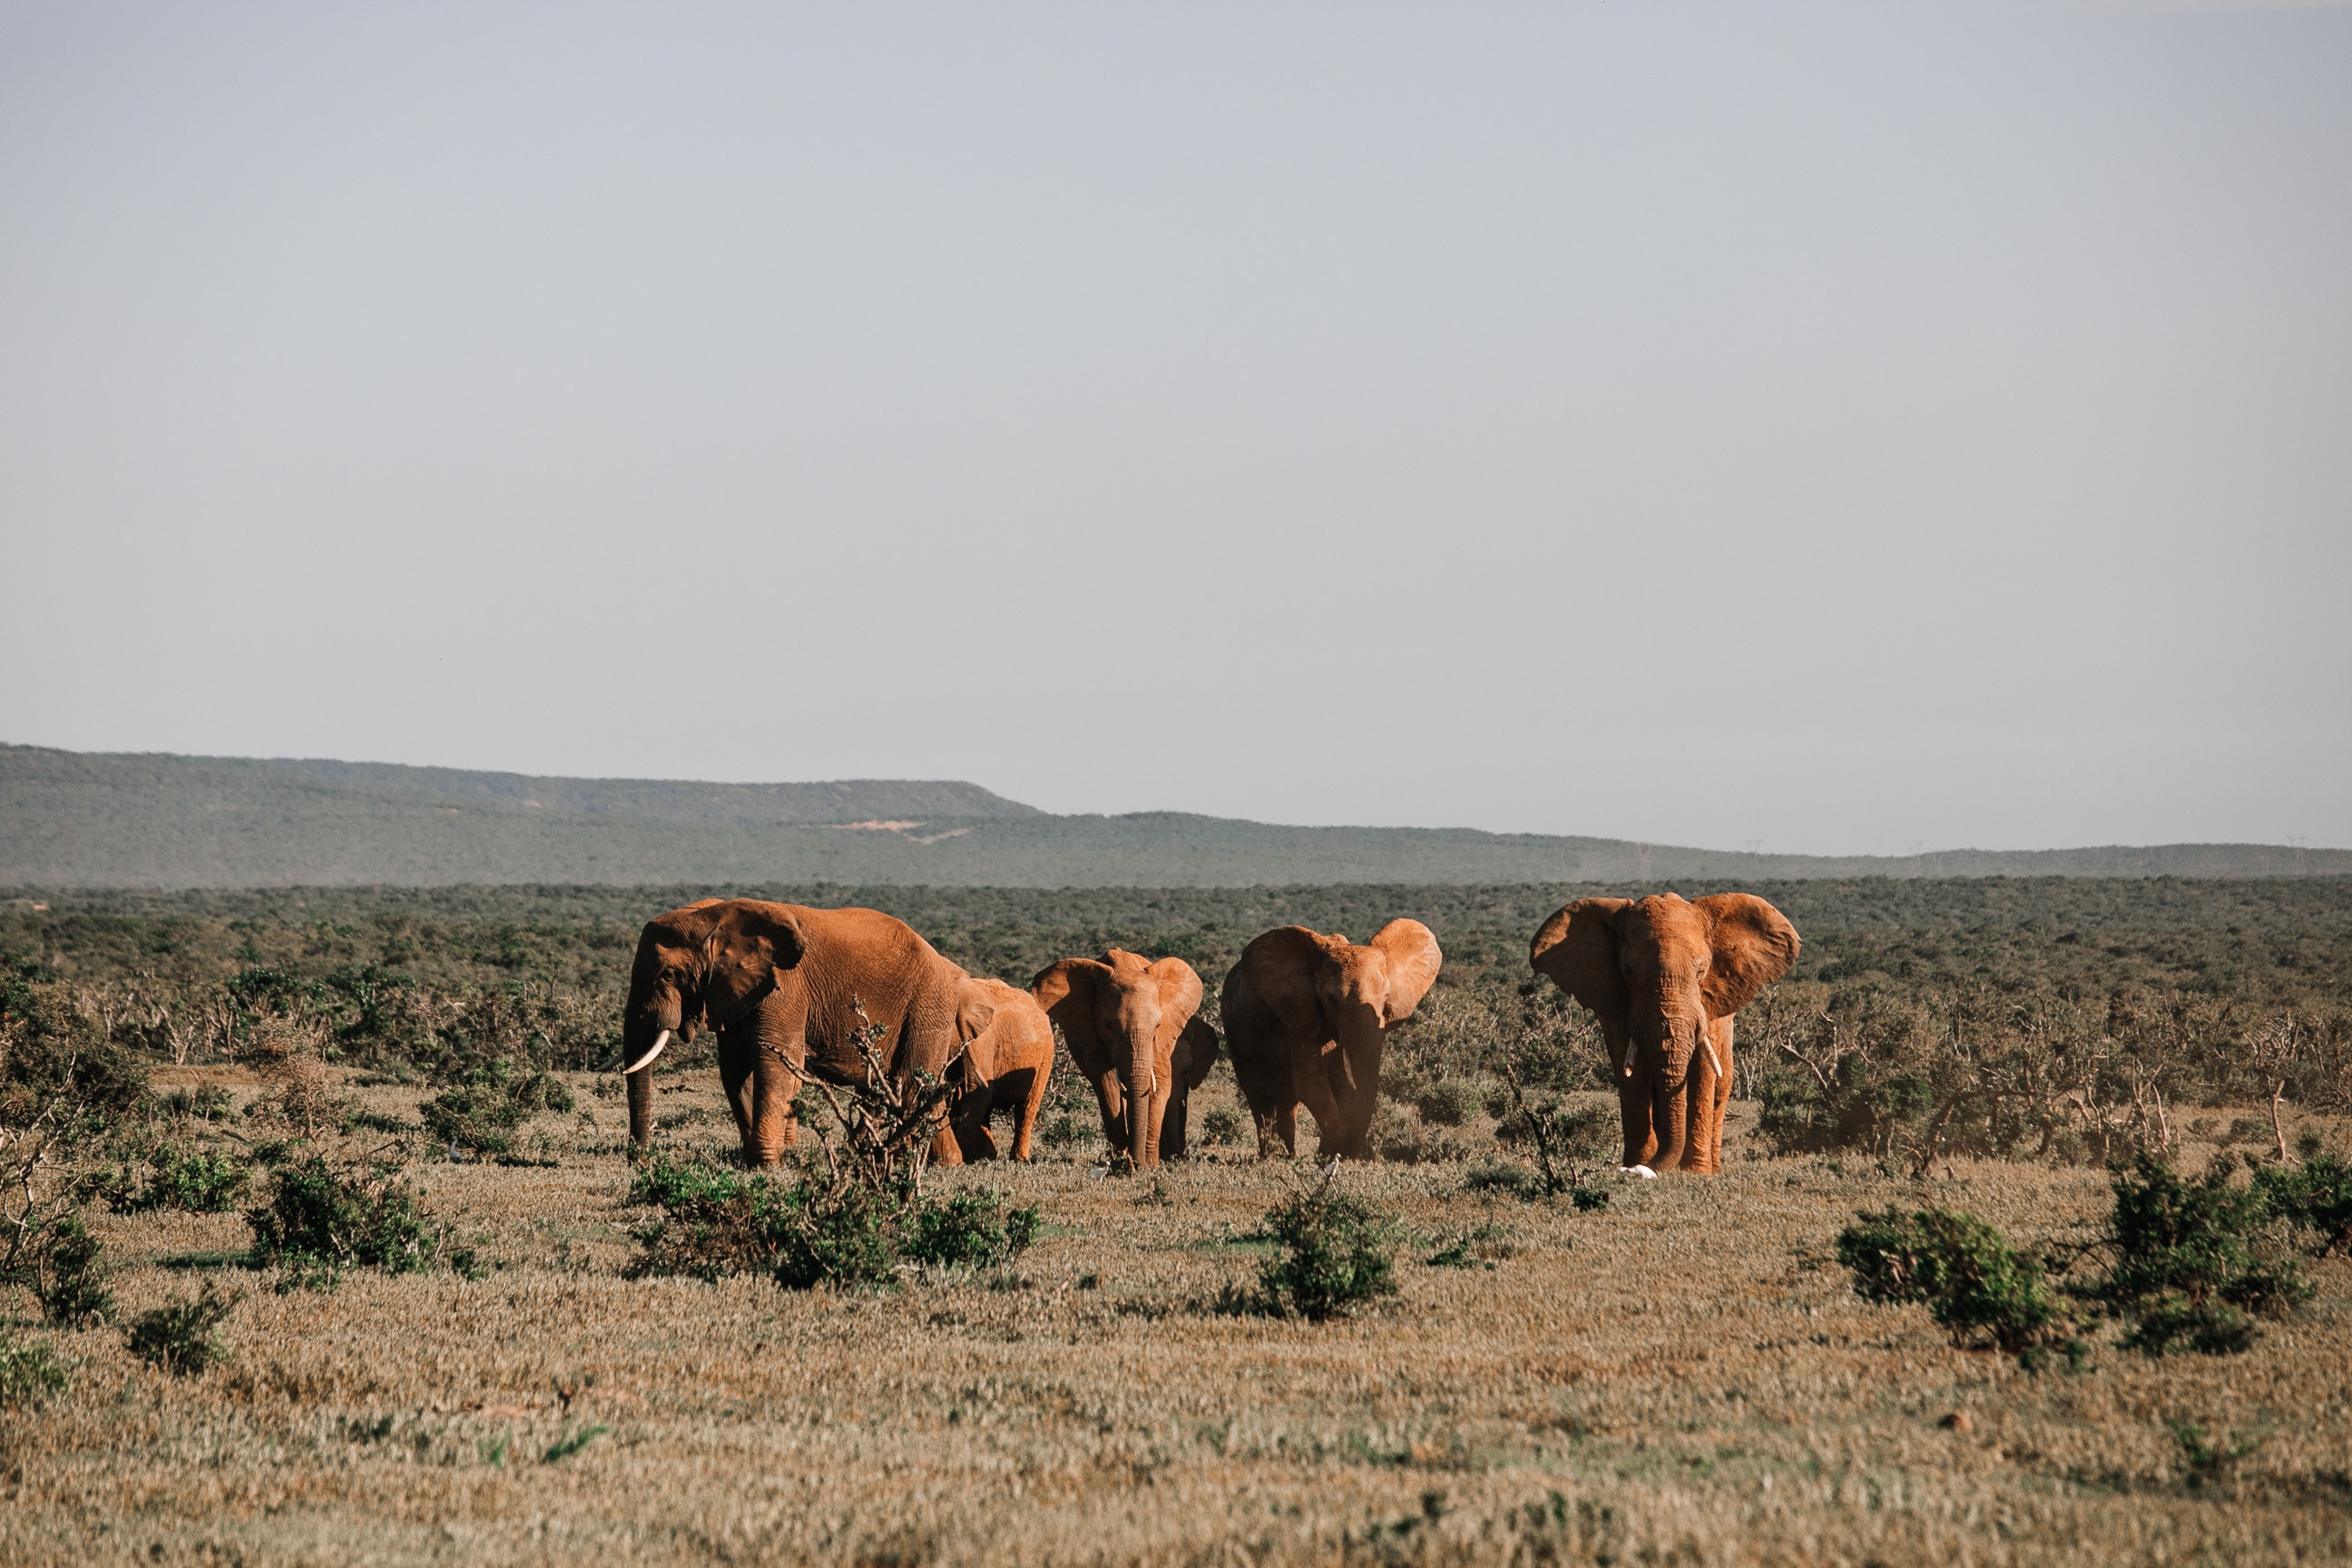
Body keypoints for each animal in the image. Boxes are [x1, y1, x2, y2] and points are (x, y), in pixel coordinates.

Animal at [616, 902, 974, 1171]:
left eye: (668, 975)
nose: (641, 1161)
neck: (714, 917)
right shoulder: (732, 993)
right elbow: (735, 1070)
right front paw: (754, 1161)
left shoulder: (784, 989)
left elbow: (773, 1064)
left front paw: (766, 1165)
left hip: (929, 1005)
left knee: (913, 1084)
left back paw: (902, 1161)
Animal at [945, 982, 1058, 1165]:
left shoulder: (982, 1039)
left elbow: (976, 1091)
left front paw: (964, 1159)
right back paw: (988, 1156)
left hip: (1045, 1056)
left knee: (1027, 1107)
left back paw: (1018, 1160)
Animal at [1030, 949, 1222, 1171]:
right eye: (1108, 1026)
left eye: (1157, 1026)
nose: (1135, 1162)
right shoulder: (1091, 1034)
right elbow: (1107, 1087)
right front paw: (1122, 1162)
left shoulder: (1162, 1040)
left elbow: (1159, 1085)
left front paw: (1148, 1163)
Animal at [1222, 921, 1439, 1165]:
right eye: (1331, 999)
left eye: (1385, 998)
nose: (1348, 1155)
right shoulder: (1302, 1014)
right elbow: (1310, 1082)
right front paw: (1327, 1151)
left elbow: (1341, 1083)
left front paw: (1333, 1152)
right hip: (1232, 1028)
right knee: (1259, 1096)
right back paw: (1270, 1156)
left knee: (1288, 1101)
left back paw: (1288, 1156)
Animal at [1524, 893, 1797, 1175]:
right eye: (1628, 971)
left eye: (1701, 971)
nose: (1642, 1170)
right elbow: (1633, 1074)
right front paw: (1637, 1164)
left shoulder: (1709, 1008)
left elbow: (1703, 1071)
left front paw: (1695, 1171)